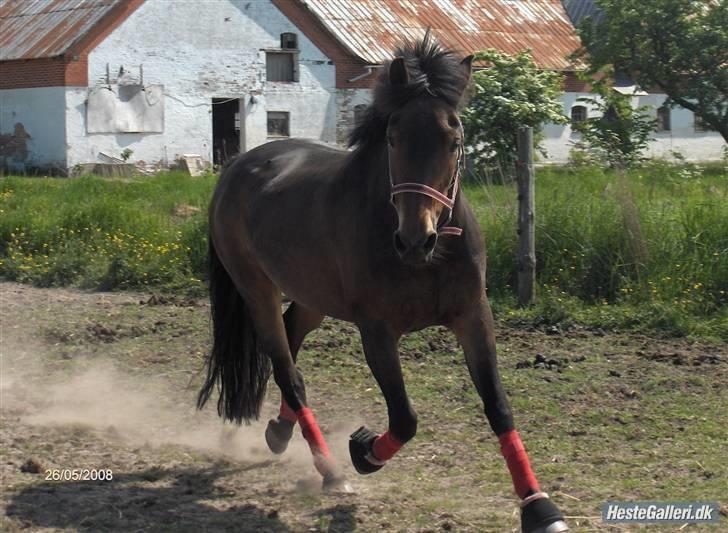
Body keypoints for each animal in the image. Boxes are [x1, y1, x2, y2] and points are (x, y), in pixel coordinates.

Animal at [197, 33, 568, 533]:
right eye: (393, 137)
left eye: (454, 140)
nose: (414, 239)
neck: (431, 258)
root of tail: (238, 166)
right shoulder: (377, 332)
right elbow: (405, 418)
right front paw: (364, 450)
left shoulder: (474, 317)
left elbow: (498, 405)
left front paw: (538, 506)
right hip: (257, 291)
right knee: (287, 370)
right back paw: (330, 470)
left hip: (314, 297)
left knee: (292, 345)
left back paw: (279, 432)